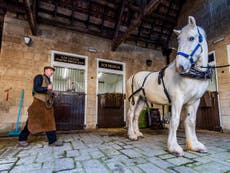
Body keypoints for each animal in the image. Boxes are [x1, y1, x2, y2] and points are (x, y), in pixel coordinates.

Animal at [126, 16, 211, 157]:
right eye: (178, 40)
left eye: (191, 38)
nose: (180, 67)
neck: (193, 76)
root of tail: (132, 76)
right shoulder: (177, 99)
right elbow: (175, 121)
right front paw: (173, 147)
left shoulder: (194, 101)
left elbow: (191, 121)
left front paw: (194, 145)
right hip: (134, 98)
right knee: (131, 114)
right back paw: (131, 135)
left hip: (142, 100)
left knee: (136, 115)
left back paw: (138, 133)